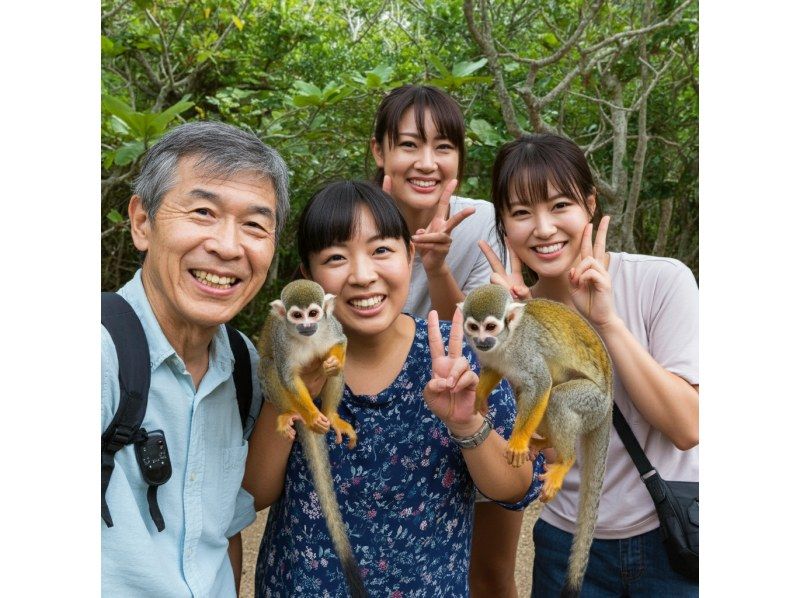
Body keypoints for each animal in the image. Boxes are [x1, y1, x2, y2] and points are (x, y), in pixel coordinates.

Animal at [258, 282, 368, 598]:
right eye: (297, 315)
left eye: (313, 313)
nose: (307, 325)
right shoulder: (283, 345)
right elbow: (288, 377)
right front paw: (311, 416)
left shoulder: (330, 327)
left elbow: (342, 342)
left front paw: (334, 362)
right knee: (268, 367)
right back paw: (293, 415)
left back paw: (330, 413)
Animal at [456, 284, 612, 598]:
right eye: (473, 328)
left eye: (491, 326)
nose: (482, 340)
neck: (506, 341)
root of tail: (611, 399)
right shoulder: (492, 355)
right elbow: (495, 370)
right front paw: (477, 399)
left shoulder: (524, 351)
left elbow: (539, 384)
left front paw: (517, 443)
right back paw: (544, 443)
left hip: (594, 402)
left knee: (557, 398)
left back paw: (564, 460)